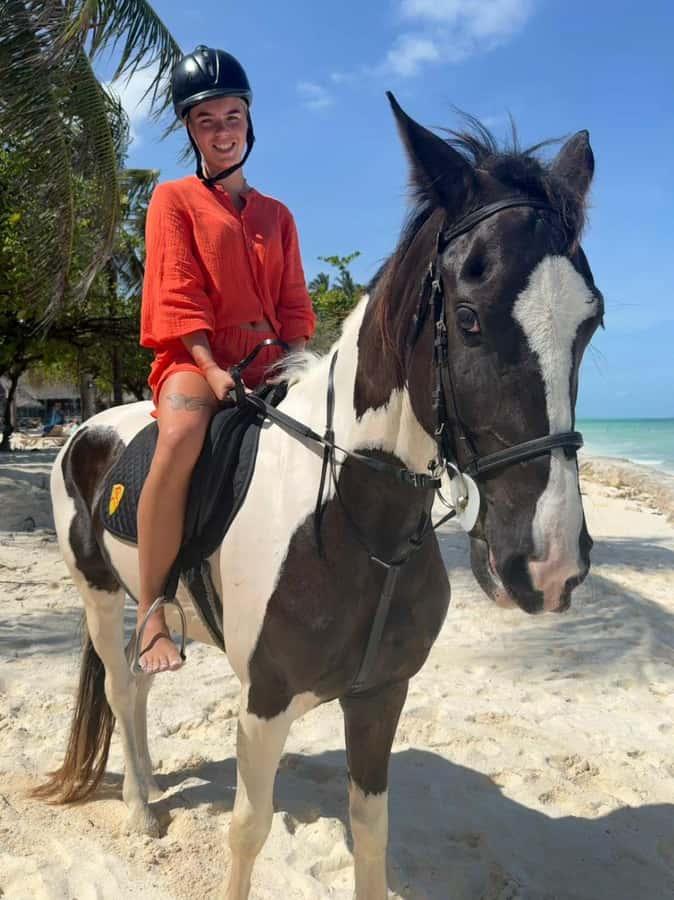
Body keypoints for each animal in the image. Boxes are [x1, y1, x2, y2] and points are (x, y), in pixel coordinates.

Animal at [35, 94, 603, 899]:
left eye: (592, 322)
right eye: (467, 318)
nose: (549, 566)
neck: (359, 520)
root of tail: (84, 429)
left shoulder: (381, 697)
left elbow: (372, 835)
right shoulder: (264, 702)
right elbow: (248, 832)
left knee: (140, 689)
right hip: (98, 594)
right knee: (119, 689)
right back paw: (142, 809)